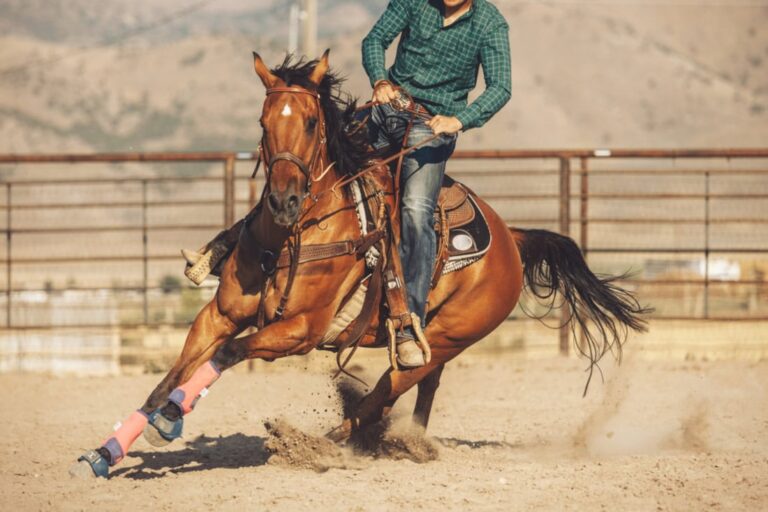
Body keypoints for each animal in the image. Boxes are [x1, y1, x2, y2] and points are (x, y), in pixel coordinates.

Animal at [71, 51, 648, 478]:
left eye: (310, 122)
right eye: (262, 122)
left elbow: (228, 355)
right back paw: (404, 443)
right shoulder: (219, 314)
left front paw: (170, 420)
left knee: (386, 393)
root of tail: (511, 238)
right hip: (434, 339)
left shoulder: (300, 331)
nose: (283, 201)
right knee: (416, 387)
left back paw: (323, 444)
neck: (297, 233)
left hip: (453, 336)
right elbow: (171, 375)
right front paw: (105, 453)